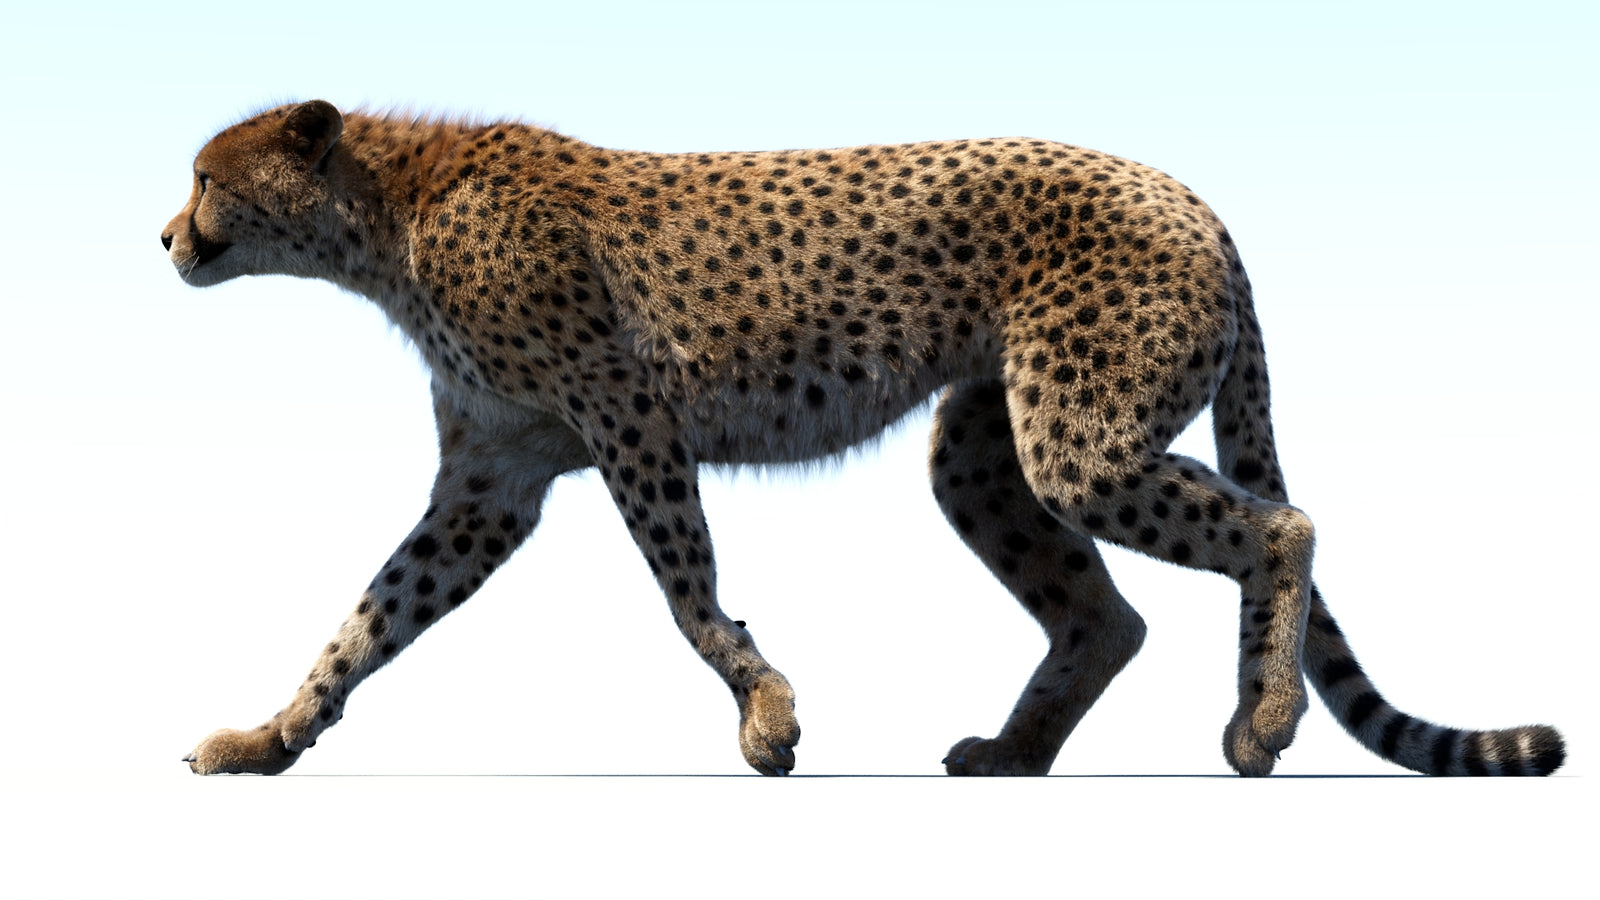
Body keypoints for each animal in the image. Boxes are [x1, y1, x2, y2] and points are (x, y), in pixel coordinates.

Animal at [163, 100, 1565, 777]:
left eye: (206, 177)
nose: (167, 235)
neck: (384, 217)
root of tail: (1191, 195)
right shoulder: (491, 480)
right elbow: (367, 618)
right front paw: (270, 737)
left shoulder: (629, 418)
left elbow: (688, 592)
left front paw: (766, 718)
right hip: (986, 452)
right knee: (1106, 614)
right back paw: (1014, 754)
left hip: (1078, 440)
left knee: (1283, 523)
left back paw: (1261, 724)